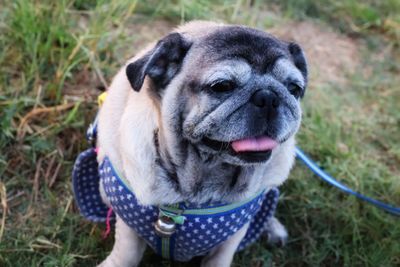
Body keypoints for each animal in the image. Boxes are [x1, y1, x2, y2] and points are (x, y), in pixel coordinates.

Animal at [95, 21, 308, 267]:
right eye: (222, 86)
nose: (268, 97)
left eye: (294, 89)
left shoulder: (233, 234)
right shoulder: (129, 223)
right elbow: (126, 251)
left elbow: (222, 256)